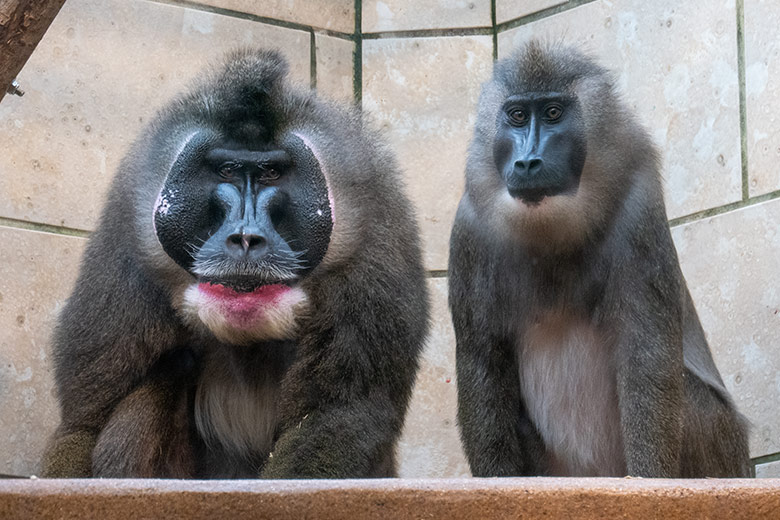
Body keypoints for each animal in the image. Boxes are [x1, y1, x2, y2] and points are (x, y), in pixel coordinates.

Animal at [41, 49, 426, 480]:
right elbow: (82, 426)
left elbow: (336, 417)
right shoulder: (123, 244)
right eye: (227, 170)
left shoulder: (375, 241)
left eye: (271, 172)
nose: (245, 238)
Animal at [450, 41, 748, 480]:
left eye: (553, 113)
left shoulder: (637, 208)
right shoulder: (469, 232)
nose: (528, 161)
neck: (550, 234)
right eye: (517, 116)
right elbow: (483, 363)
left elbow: (647, 356)